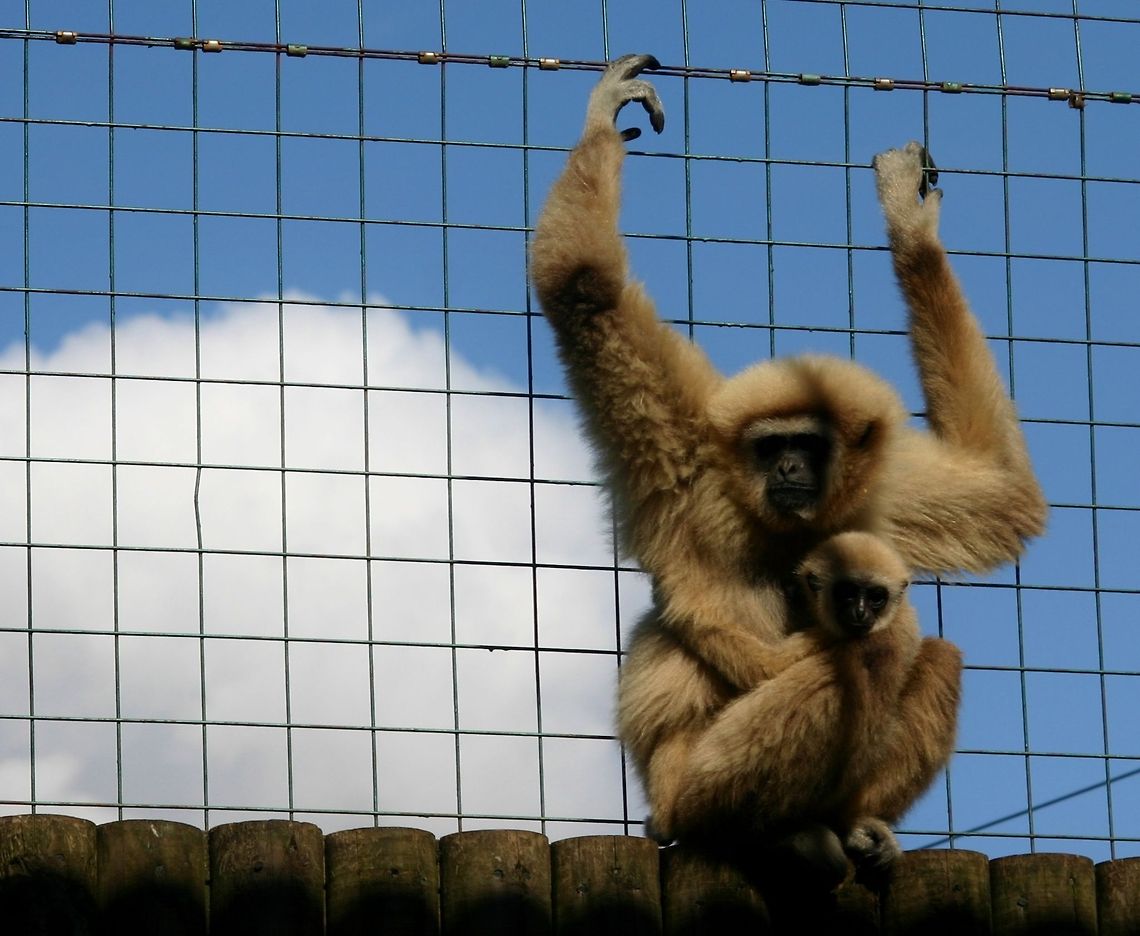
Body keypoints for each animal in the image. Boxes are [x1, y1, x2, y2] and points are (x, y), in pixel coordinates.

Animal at [529, 55, 1045, 875]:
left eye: (813, 447)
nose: (791, 472)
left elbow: (1006, 495)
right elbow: (583, 287)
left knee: (933, 653)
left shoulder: (881, 493)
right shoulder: (686, 454)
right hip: (691, 780)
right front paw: (602, 119)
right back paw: (769, 830)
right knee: (869, 657)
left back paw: (854, 823)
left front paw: (913, 231)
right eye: (774, 446)